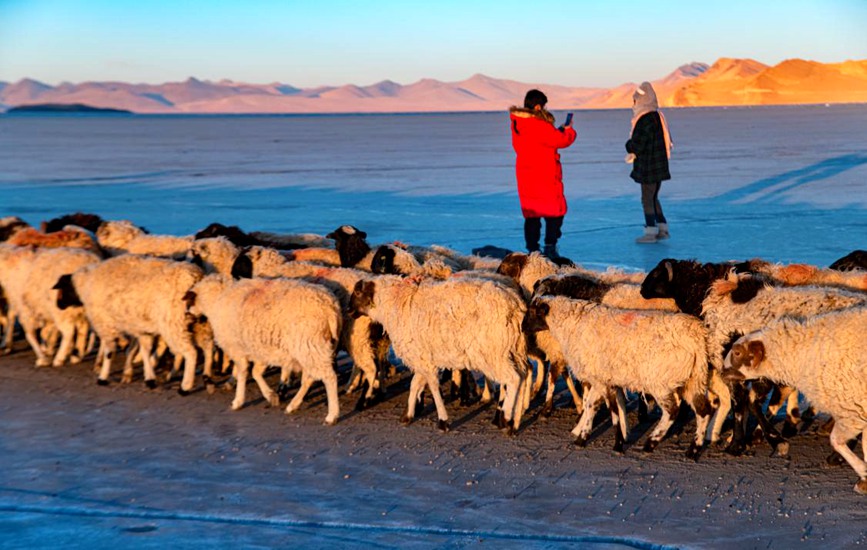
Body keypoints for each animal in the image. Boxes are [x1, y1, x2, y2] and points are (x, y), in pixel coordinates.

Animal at [53, 254, 203, 392]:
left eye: (61, 289)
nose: (58, 305)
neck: (85, 285)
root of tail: (193, 277)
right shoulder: (141, 327)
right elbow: (144, 351)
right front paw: (149, 379)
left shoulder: (105, 324)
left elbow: (109, 352)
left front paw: (103, 377)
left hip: (174, 322)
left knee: (190, 352)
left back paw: (186, 385)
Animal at [186, 276, 342, 426]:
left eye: (191, 300)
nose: (188, 314)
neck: (217, 300)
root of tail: (330, 306)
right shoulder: (261, 349)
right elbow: (256, 372)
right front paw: (271, 396)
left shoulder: (237, 348)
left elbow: (243, 372)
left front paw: (238, 401)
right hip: (311, 348)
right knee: (310, 377)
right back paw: (293, 405)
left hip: (310, 346)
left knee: (329, 377)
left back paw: (331, 416)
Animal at [348, 276, 528, 436]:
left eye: (357, 292)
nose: (349, 310)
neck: (394, 302)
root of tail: (514, 304)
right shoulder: (422, 356)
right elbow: (415, 384)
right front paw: (408, 415)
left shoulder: (424, 359)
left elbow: (433, 387)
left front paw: (443, 421)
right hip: (514, 350)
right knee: (523, 377)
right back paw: (513, 424)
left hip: (493, 352)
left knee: (513, 379)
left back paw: (506, 416)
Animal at [524, 298, 716, 462]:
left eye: (532, 312)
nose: (522, 327)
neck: (571, 324)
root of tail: (697, 337)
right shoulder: (601, 379)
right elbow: (591, 405)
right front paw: (582, 437)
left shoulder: (602, 379)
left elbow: (613, 411)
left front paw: (617, 444)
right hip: (693, 379)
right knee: (703, 411)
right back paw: (693, 450)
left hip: (659, 380)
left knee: (673, 411)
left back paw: (651, 442)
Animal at [724, 306, 867, 496]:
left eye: (738, 353)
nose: (721, 371)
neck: (803, 355)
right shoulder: (858, 409)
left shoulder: (851, 410)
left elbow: (836, 440)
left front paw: (863, 473)